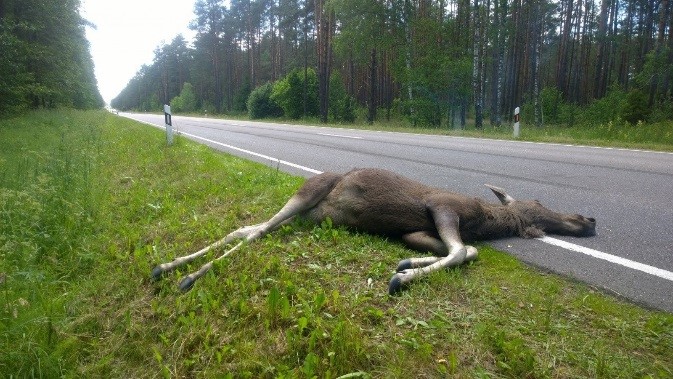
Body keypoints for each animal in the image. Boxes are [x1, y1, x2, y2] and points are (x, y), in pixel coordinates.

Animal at [151, 168, 592, 296]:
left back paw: (167, 266)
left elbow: (464, 252)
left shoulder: (416, 230)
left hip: (307, 216)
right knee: (254, 234)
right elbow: (459, 251)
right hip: (308, 191)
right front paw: (402, 278)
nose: (588, 219)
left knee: (246, 228)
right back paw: (187, 275)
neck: (483, 221)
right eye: (538, 202)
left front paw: (408, 262)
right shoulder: (444, 206)